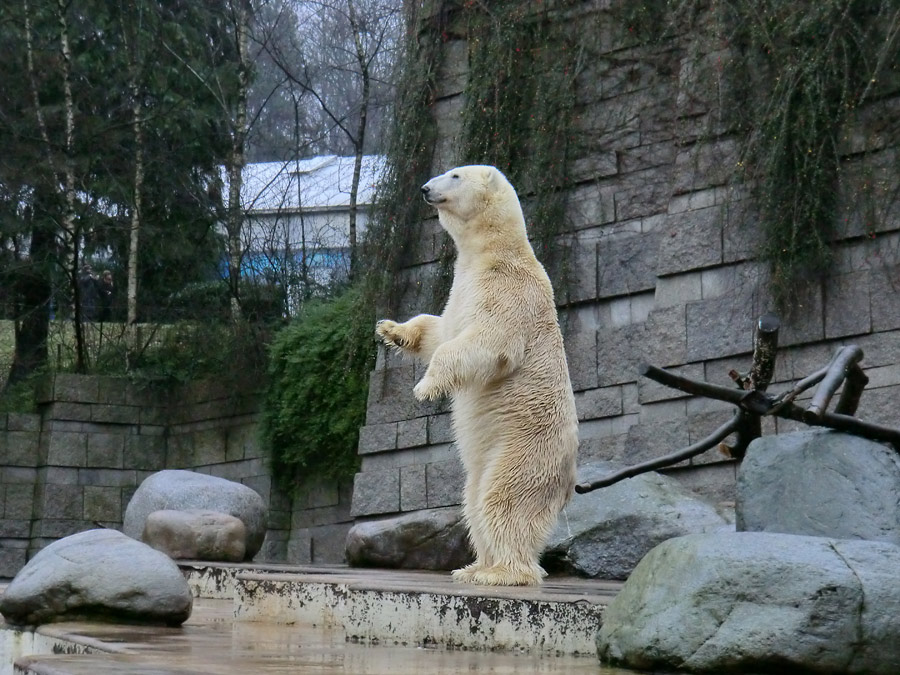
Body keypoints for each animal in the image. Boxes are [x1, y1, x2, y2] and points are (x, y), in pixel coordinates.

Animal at [372, 165, 576, 588]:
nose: (425, 188)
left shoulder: (508, 290)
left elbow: (486, 341)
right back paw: (473, 566)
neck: (492, 254)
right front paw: (391, 329)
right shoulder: (462, 290)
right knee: (472, 499)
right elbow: (439, 329)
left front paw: (425, 388)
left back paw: (502, 572)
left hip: (524, 448)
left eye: (454, 175)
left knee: (505, 500)